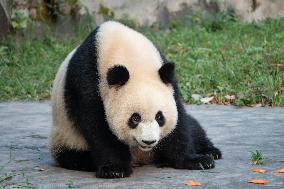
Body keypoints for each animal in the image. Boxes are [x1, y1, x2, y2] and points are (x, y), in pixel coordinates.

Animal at [49, 21, 222, 179]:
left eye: (160, 117)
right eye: (135, 118)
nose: (149, 141)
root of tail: (142, 158)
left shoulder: (168, 79)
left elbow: (179, 122)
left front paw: (196, 160)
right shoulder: (86, 80)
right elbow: (97, 125)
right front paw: (115, 169)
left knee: (194, 127)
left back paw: (211, 152)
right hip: (66, 135)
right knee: (73, 155)